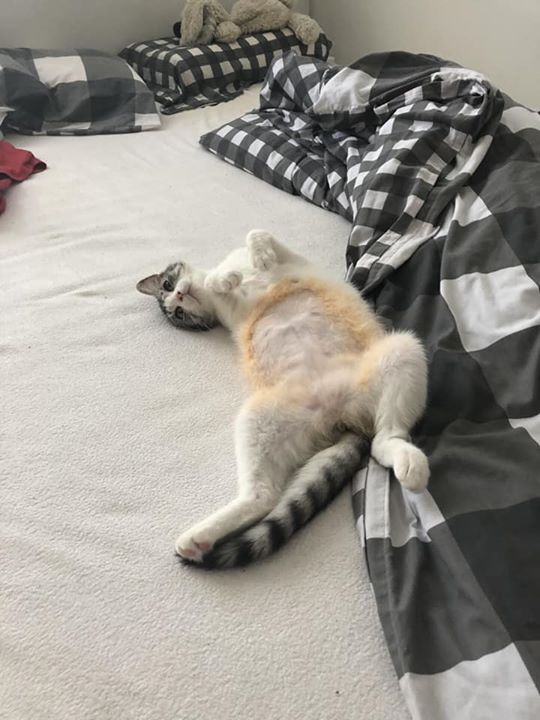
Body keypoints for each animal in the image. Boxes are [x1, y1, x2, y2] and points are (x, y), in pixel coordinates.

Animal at [137, 229, 429, 568]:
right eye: (177, 311)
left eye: (168, 287)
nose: (179, 298)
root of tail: (341, 415)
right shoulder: (231, 313)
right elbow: (223, 278)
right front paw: (227, 278)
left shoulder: (292, 259)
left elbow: (256, 234)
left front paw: (255, 260)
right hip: (262, 418)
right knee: (265, 494)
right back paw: (198, 538)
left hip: (402, 349)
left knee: (386, 436)